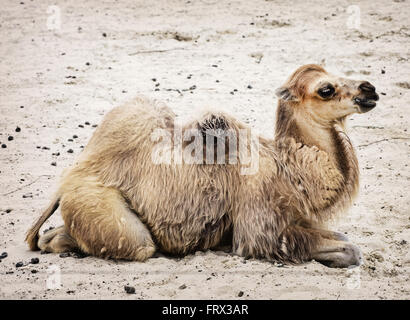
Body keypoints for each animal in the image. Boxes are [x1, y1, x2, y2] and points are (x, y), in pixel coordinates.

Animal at [25, 63, 380, 268]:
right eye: (326, 89)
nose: (369, 89)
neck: (292, 169)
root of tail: (69, 179)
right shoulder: (260, 223)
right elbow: (346, 249)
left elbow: (343, 238)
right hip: (101, 206)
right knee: (135, 245)